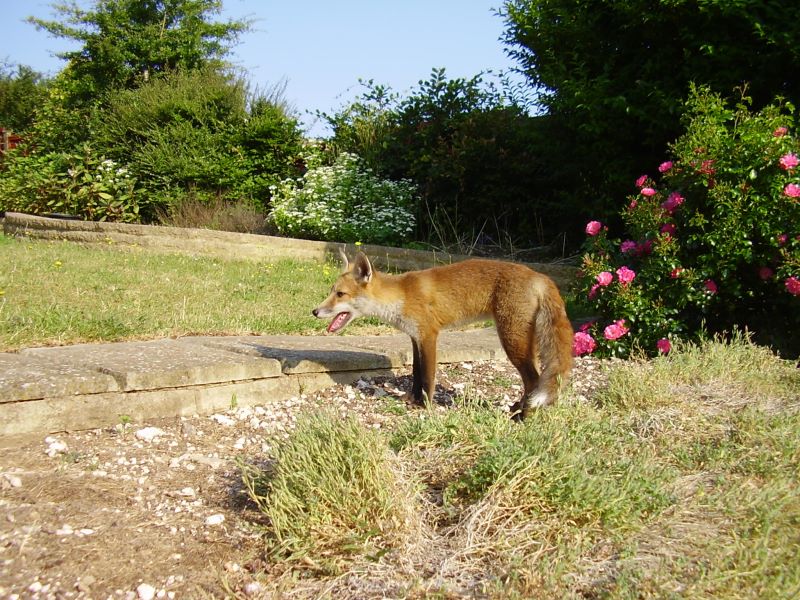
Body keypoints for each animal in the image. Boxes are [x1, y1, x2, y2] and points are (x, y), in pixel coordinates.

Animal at [312, 251, 576, 420]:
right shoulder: (415, 337)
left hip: (512, 340)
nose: (314, 311)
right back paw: (517, 409)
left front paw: (425, 406)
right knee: (533, 379)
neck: (400, 297)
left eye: (340, 294)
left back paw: (523, 416)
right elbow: (416, 373)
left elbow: (428, 377)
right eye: (331, 292)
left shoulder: (429, 335)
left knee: (533, 379)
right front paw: (413, 400)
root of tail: (540, 276)